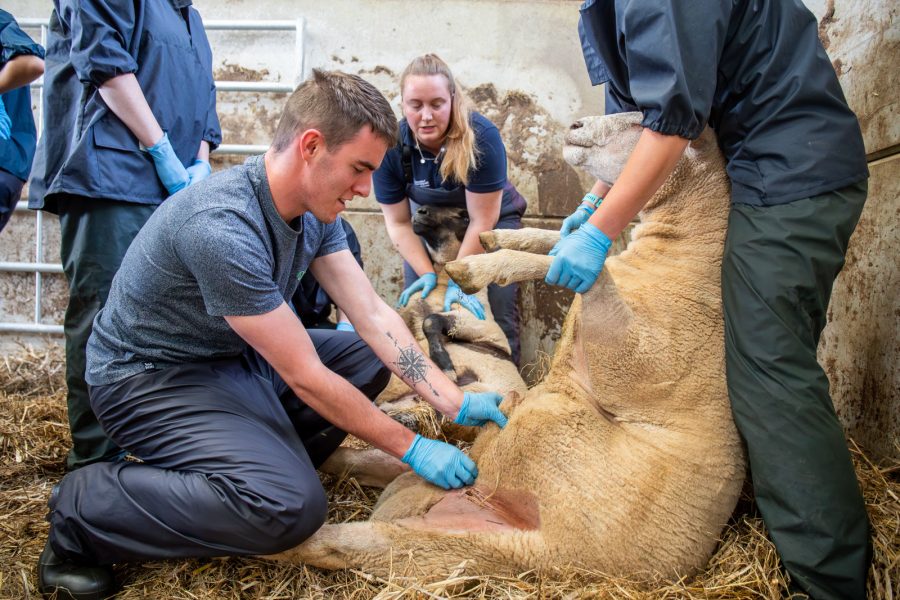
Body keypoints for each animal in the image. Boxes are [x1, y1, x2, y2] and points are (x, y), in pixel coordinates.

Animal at [272, 110, 744, 580]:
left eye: (643, 124)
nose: (575, 126)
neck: (684, 256)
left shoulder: (641, 358)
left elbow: (578, 265)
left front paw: (479, 266)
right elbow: (566, 243)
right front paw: (499, 239)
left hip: (462, 546)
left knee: (335, 544)